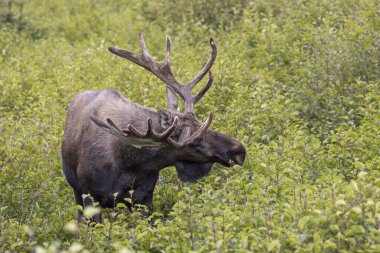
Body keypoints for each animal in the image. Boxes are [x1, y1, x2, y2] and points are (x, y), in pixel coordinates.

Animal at [61, 33, 246, 221]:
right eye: (195, 140)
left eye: (201, 123)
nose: (240, 150)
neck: (128, 160)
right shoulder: (91, 196)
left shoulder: (144, 196)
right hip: (76, 191)